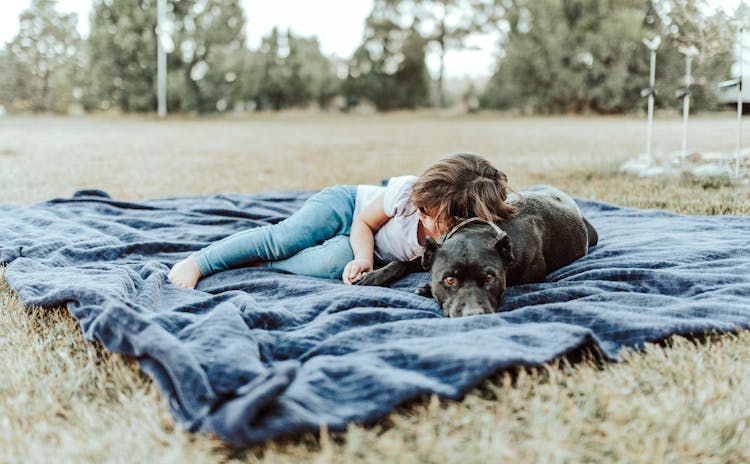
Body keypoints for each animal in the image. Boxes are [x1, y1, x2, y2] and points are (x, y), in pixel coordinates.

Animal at [356, 184, 600, 316]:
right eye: (449, 279)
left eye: (490, 278)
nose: (473, 314)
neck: (478, 230)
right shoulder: (433, 250)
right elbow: (401, 262)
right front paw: (373, 276)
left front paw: (426, 287)